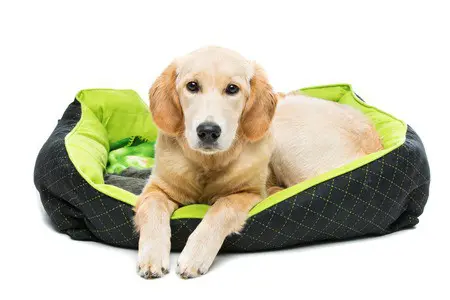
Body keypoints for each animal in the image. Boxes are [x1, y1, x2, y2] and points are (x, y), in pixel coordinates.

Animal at [134, 47, 384, 278]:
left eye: (232, 88)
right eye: (192, 86)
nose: (208, 131)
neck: (208, 163)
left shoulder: (248, 192)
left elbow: (222, 208)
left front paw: (195, 254)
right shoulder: (156, 189)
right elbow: (152, 209)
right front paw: (151, 257)